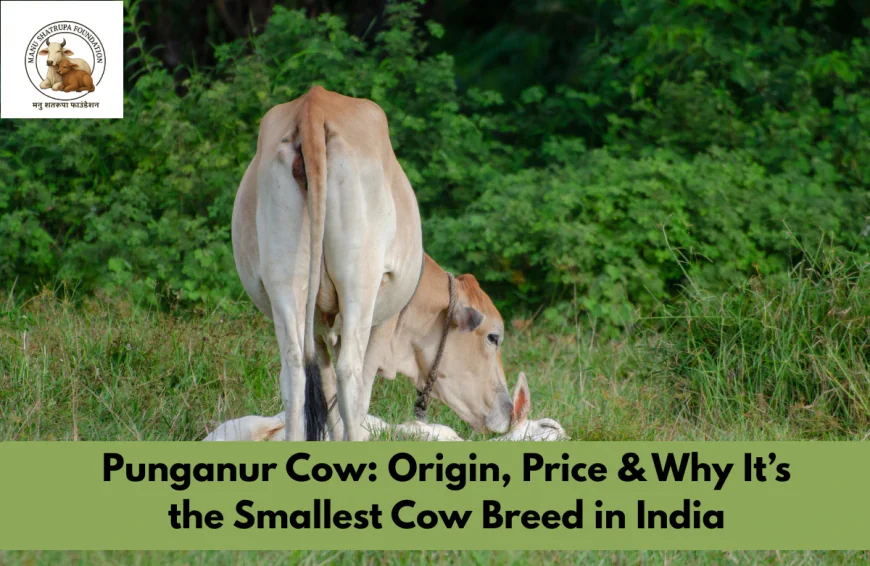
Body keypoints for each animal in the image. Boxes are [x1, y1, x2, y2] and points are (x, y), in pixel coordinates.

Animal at [231, 85, 514, 441]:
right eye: (494, 337)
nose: (510, 410)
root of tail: (313, 106)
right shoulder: (382, 323)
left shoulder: (320, 330)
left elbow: (327, 398)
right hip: (360, 285)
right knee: (351, 376)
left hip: (285, 284)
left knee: (294, 374)